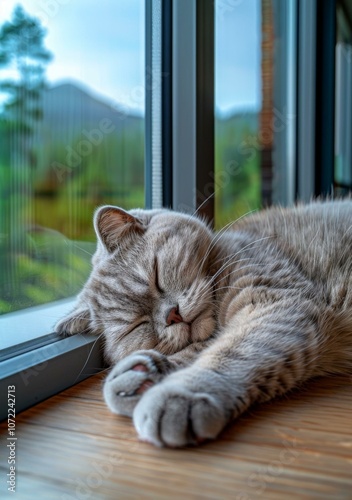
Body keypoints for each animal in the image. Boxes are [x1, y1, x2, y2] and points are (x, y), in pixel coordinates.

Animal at [55, 197, 352, 448]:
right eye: (136, 326)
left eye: (156, 275)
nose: (171, 315)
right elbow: (202, 348)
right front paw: (144, 373)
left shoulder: (277, 304)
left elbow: (230, 352)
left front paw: (181, 394)